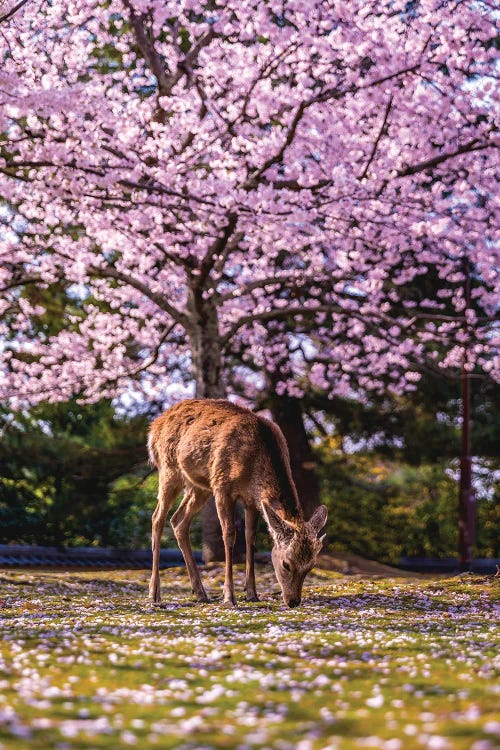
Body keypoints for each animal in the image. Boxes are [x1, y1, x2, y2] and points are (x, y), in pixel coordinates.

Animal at [147, 400, 328, 612]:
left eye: (311, 566)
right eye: (286, 564)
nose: (293, 601)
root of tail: (154, 428)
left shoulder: (252, 500)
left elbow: (250, 538)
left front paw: (252, 594)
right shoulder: (222, 486)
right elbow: (229, 535)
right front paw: (229, 597)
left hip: (198, 485)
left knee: (178, 520)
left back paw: (200, 593)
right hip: (169, 469)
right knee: (157, 518)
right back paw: (154, 593)